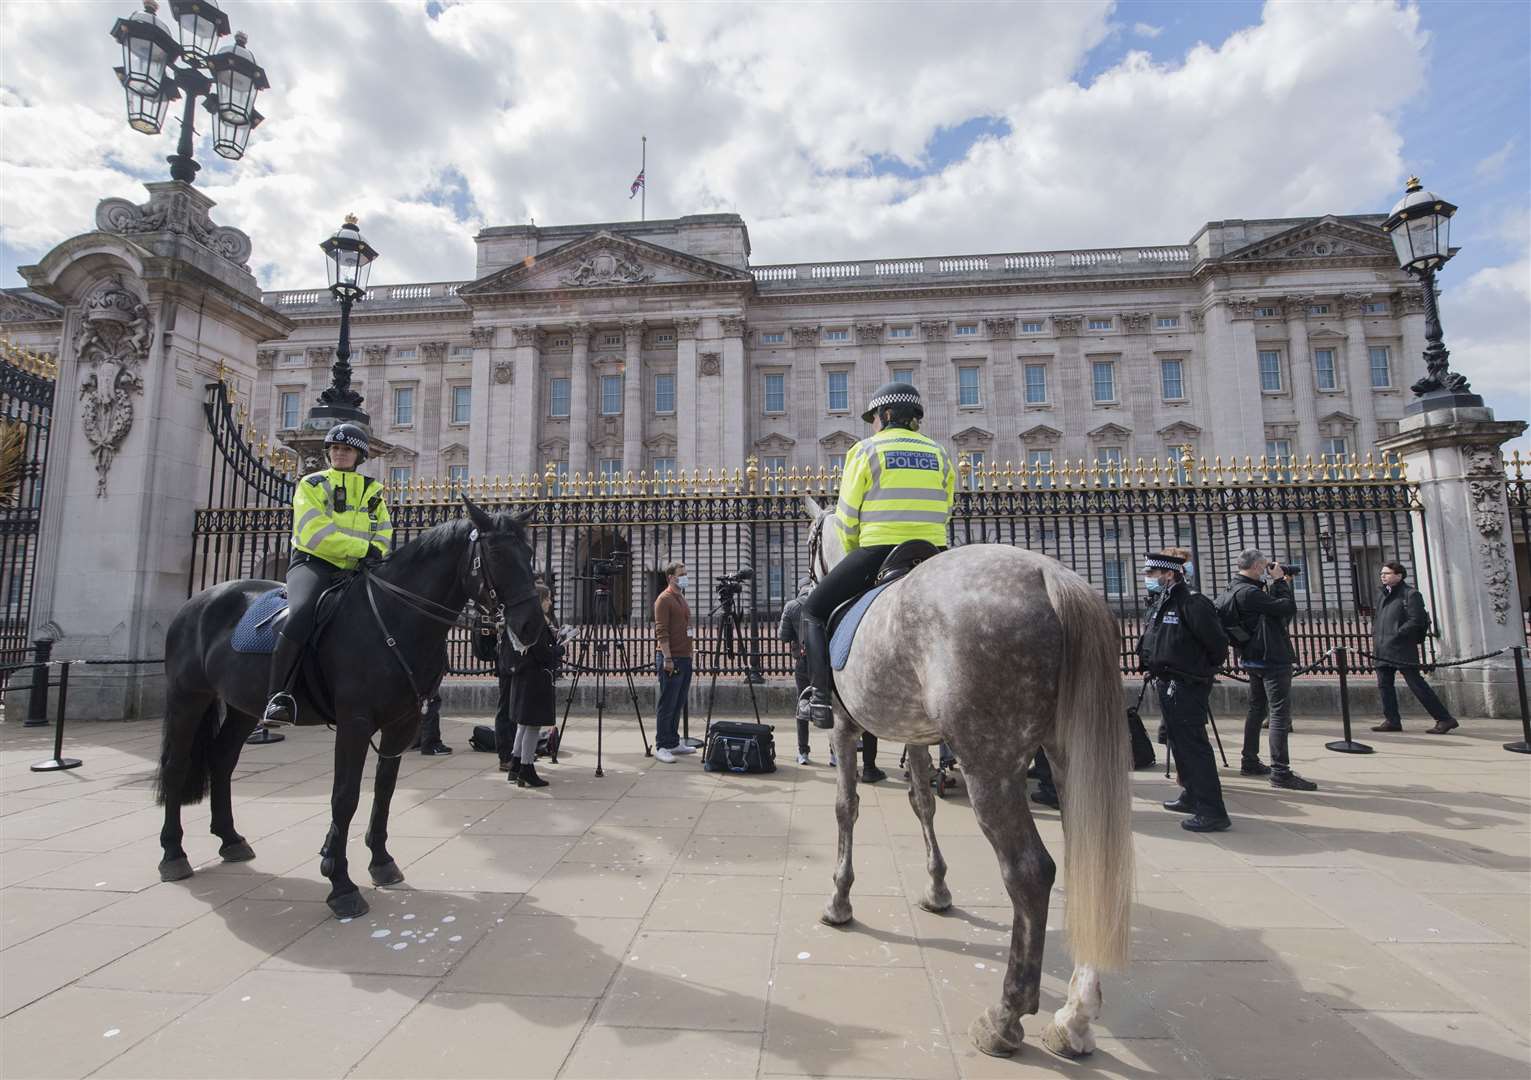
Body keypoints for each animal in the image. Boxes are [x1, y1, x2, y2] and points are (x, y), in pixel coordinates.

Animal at [158, 502, 541, 913]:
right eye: (497, 554)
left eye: (530, 553)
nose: (530, 626)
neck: (395, 618)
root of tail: (198, 599)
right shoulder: (354, 723)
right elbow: (345, 795)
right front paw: (340, 883)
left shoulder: (402, 723)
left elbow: (384, 790)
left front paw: (382, 862)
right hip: (187, 697)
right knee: (176, 765)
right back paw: (173, 854)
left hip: (243, 705)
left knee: (222, 759)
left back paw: (230, 839)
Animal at [808, 499, 1132, 1060]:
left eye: (808, 544)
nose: (807, 583)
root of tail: (1053, 576)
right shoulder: (915, 732)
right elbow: (922, 800)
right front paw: (937, 889)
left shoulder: (846, 726)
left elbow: (845, 807)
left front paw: (839, 901)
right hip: (1069, 753)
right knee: (1086, 853)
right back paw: (1073, 1019)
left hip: (990, 761)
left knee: (1030, 871)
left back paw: (1004, 1020)